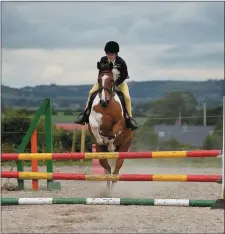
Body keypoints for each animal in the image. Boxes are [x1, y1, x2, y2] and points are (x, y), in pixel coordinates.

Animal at [88, 61, 134, 190]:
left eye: (111, 80)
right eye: (99, 80)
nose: (103, 101)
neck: (107, 105)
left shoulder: (119, 122)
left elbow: (114, 131)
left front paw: (110, 143)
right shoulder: (93, 118)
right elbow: (95, 126)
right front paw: (101, 139)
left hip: (125, 146)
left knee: (117, 167)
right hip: (100, 152)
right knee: (106, 168)